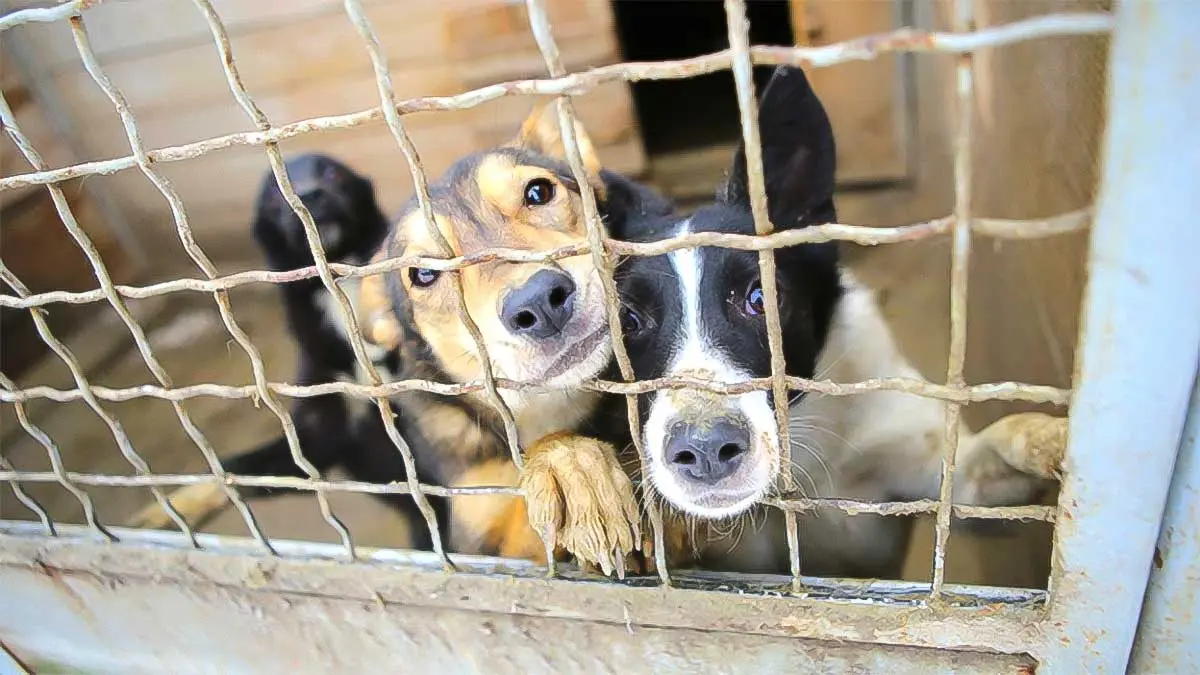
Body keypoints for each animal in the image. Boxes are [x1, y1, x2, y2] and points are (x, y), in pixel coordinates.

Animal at [614, 66, 1065, 571]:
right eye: (627, 320)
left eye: (761, 298)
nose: (706, 448)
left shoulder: (952, 484)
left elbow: (987, 461)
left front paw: (1049, 436)